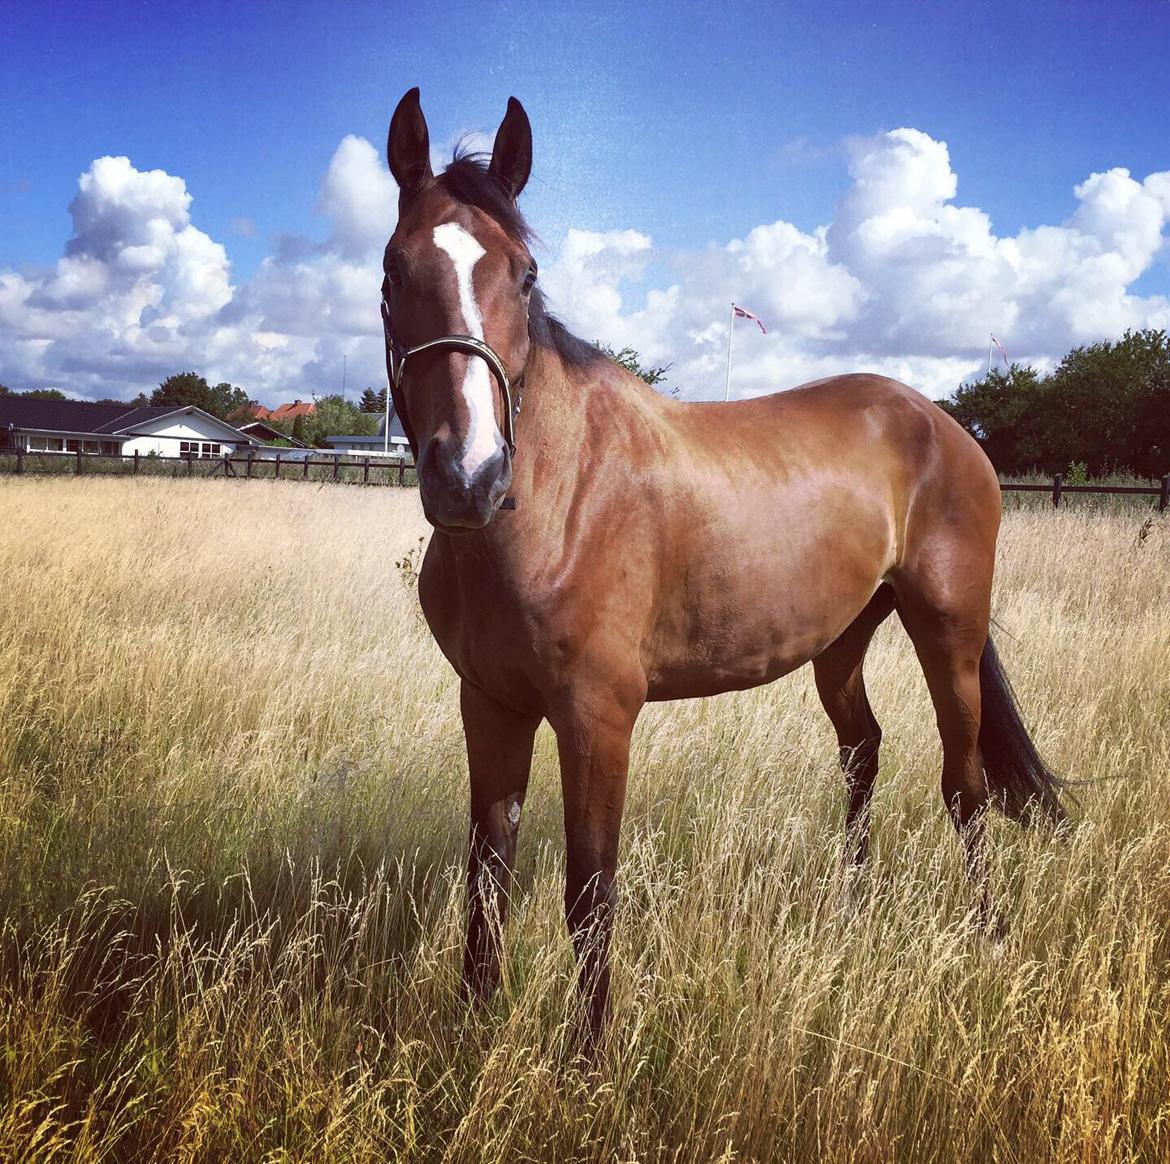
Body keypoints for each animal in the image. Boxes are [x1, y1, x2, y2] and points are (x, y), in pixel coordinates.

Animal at [379, 88, 1067, 1057]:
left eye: (524, 275)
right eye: (394, 272)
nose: (467, 475)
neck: (553, 499)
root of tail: (942, 423)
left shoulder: (598, 716)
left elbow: (590, 890)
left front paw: (589, 1059)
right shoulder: (492, 704)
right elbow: (487, 871)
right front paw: (472, 1025)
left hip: (949, 631)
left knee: (964, 788)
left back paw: (987, 935)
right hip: (842, 639)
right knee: (863, 752)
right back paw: (850, 911)